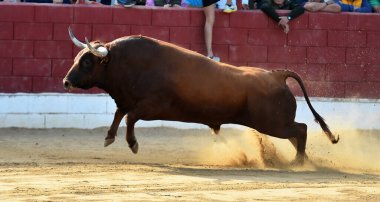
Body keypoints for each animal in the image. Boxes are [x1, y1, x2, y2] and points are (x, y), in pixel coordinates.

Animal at [63, 26, 338, 164]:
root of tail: (276, 74)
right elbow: (120, 113)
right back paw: (304, 161)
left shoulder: (150, 106)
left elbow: (129, 117)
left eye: (87, 62)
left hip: (273, 123)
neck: (126, 63)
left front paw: (133, 144)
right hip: (275, 123)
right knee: (297, 134)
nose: (66, 81)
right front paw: (109, 137)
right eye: (78, 58)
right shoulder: (128, 101)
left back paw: (298, 163)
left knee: (301, 130)